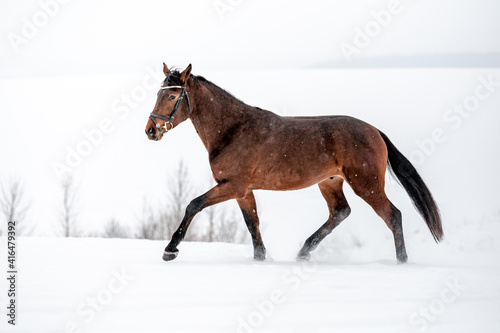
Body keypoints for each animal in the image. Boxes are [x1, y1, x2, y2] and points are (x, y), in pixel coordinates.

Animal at [144, 63, 442, 264]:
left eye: (172, 96)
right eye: (158, 94)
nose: (150, 130)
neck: (233, 130)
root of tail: (375, 131)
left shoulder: (233, 185)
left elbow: (193, 204)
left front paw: (170, 249)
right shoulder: (242, 191)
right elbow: (252, 223)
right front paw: (260, 258)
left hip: (366, 184)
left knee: (393, 215)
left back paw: (401, 261)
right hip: (330, 183)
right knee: (340, 212)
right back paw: (303, 252)